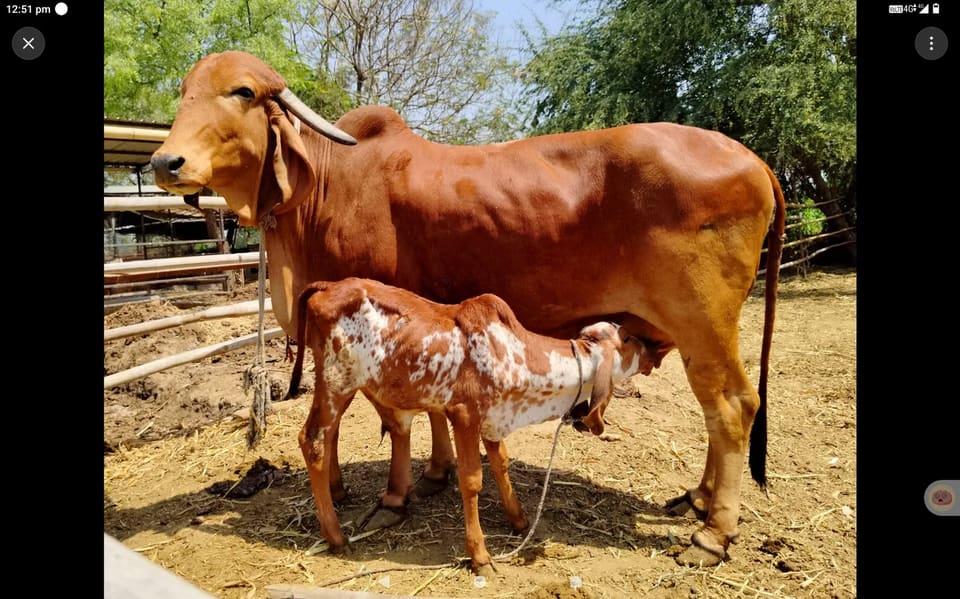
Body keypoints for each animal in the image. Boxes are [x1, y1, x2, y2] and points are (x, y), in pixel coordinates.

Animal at [287, 277, 655, 573]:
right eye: (626, 338)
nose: (651, 350)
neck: (515, 354)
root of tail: (328, 286)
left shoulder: (494, 418)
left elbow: (501, 463)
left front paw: (519, 519)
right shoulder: (465, 416)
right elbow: (472, 481)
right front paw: (480, 556)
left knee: (332, 435)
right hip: (337, 383)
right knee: (313, 441)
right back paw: (336, 536)